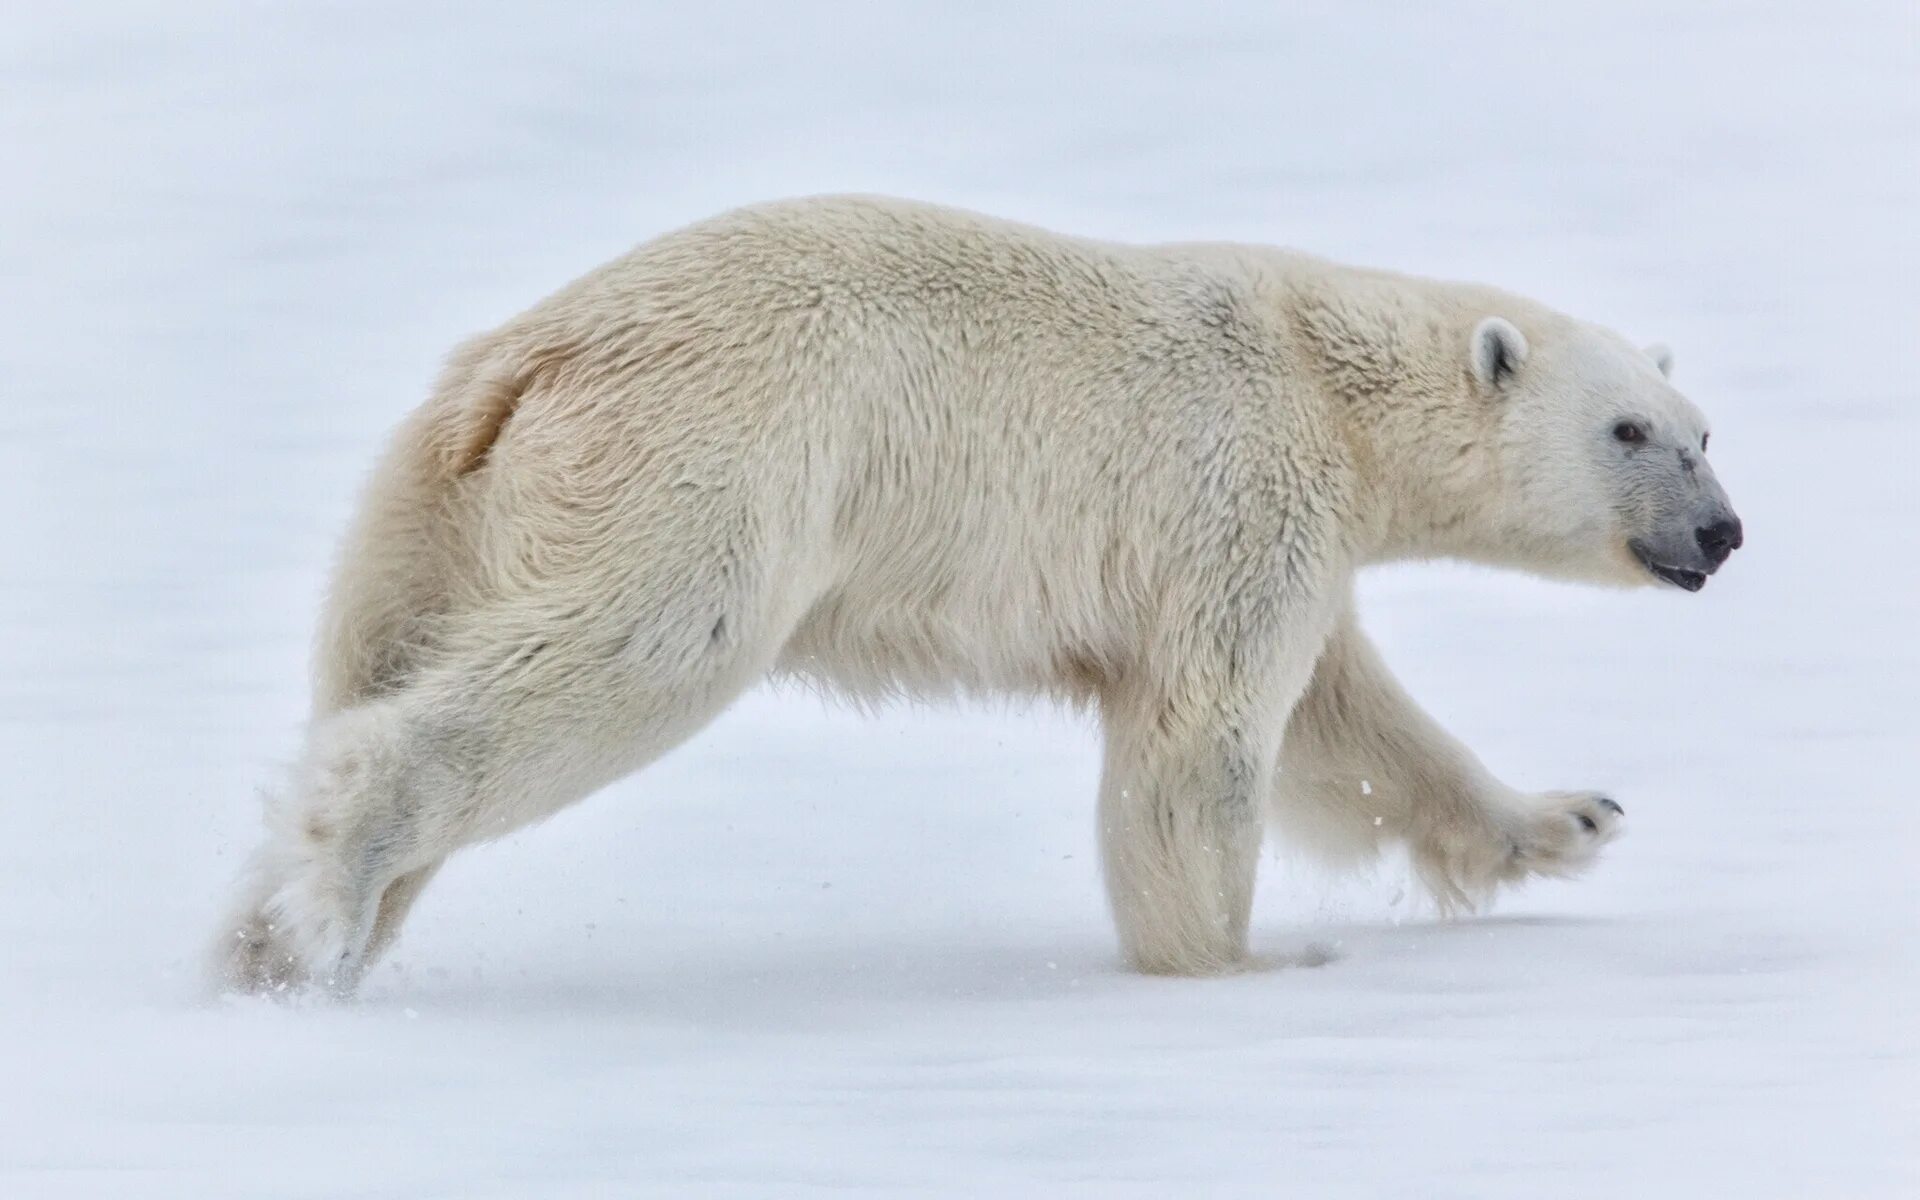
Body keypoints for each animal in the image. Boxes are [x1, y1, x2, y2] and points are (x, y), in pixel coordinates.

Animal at [206, 192, 1743, 990]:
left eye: (1705, 427)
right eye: (1629, 431)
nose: (1724, 533)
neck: (1331, 374)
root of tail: (529, 364)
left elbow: (1349, 730)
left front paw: (1568, 819)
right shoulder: (1242, 487)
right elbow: (1209, 738)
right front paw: (1242, 967)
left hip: (429, 509)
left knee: (374, 662)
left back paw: (267, 946)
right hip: (708, 463)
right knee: (628, 653)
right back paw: (332, 902)